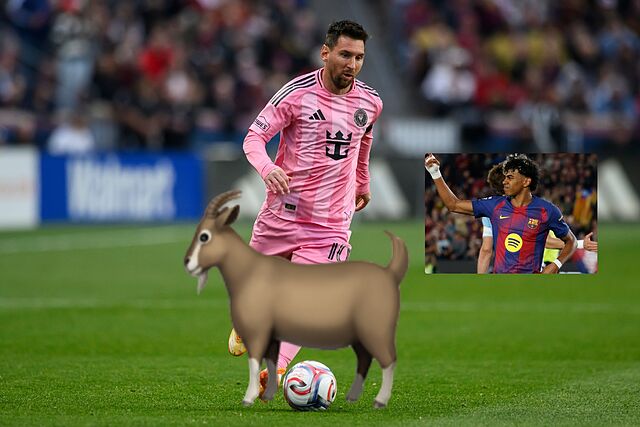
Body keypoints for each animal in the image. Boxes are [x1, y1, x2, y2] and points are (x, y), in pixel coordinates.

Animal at [183, 190, 408, 408]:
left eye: (204, 237)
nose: (187, 262)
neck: (251, 271)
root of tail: (389, 273)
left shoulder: (259, 329)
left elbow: (254, 361)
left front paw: (250, 397)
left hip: (375, 328)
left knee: (389, 359)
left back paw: (380, 401)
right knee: (366, 359)